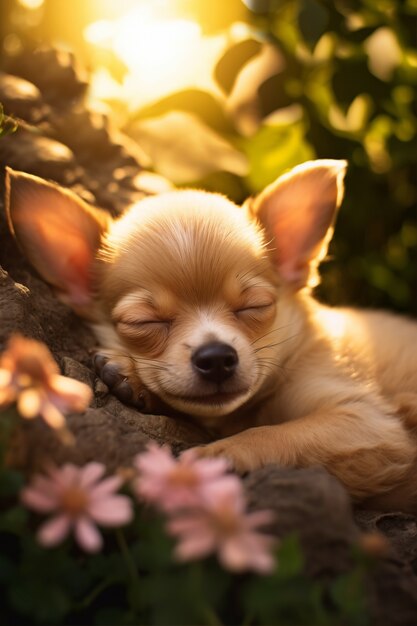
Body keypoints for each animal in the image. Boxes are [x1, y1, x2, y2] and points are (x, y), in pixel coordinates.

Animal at [4, 163, 416, 510]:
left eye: (253, 306)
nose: (216, 356)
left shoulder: (365, 423)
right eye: (144, 322)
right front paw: (131, 377)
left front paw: (213, 459)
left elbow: (272, 434)